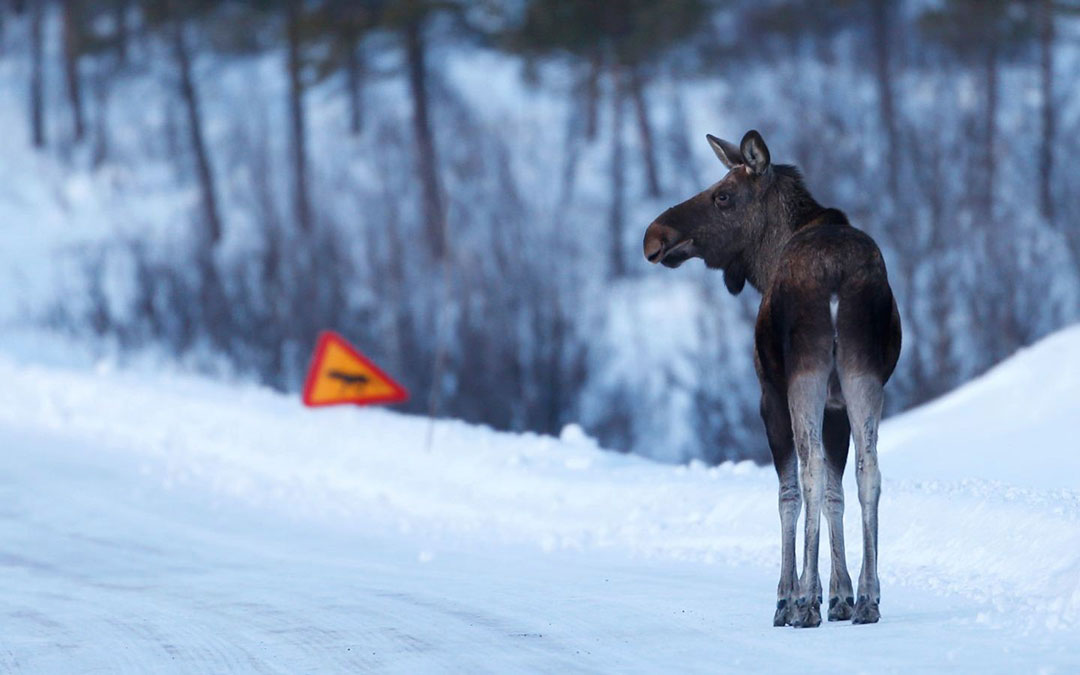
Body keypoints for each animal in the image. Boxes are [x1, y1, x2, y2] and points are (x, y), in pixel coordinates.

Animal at [639, 131, 902, 626]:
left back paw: (803, 602)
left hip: (803, 376)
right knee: (869, 471)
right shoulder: (836, 403)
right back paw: (869, 598)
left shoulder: (769, 396)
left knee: (809, 470)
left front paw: (791, 596)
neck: (765, 262)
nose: (654, 235)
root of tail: (836, 276)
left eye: (722, 195)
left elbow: (789, 492)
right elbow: (837, 492)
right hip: (863, 374)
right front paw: (841, 595)